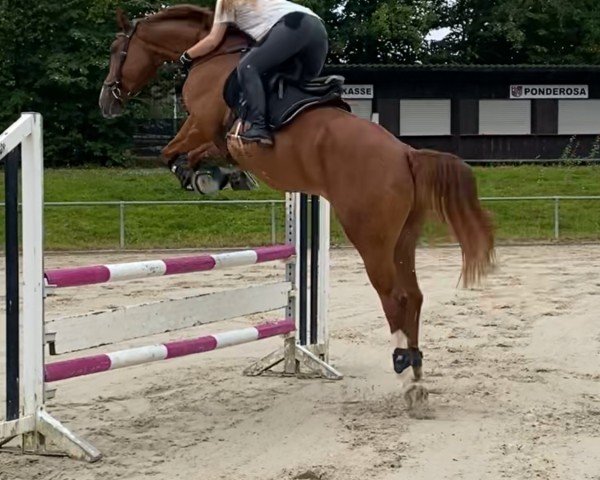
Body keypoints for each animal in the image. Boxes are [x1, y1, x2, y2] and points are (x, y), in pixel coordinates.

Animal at [98, 6, 492, 394]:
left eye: (116, 50)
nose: (106, 102)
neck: (211, 53)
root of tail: (406, 154)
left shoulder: (201, 123)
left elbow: (172, 152)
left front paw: (200, 177)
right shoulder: (215, 137)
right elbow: (198, 153)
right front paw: (224, 177)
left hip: (369, 236)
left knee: (394, 296)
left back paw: (403, 368)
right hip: (403, 238)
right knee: (415, 295)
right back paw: (416, 366)